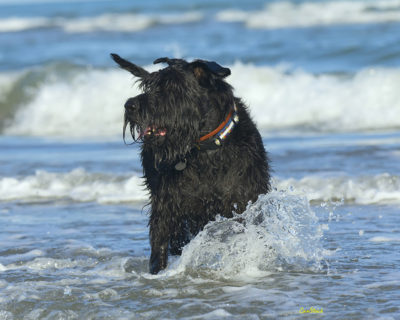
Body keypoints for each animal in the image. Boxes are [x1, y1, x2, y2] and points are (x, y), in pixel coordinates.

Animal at [111, 53, 270, 274]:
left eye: (173, 87)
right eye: (149, 86)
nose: (130, 105)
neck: (206, 150)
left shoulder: (244, 200)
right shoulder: (166, 205)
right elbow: (159, 241)